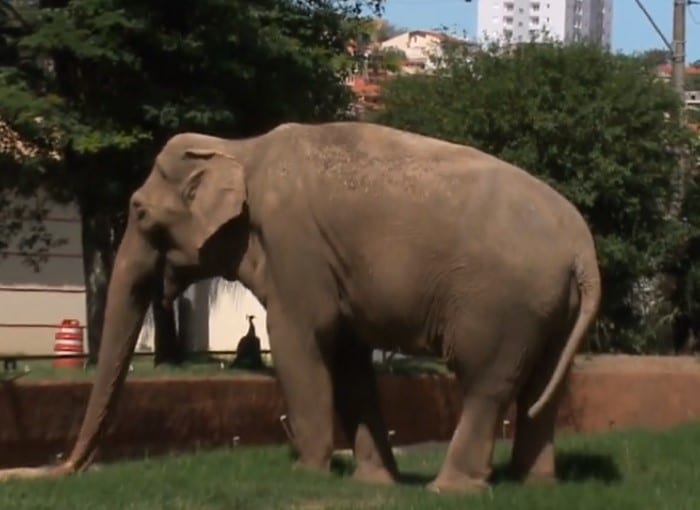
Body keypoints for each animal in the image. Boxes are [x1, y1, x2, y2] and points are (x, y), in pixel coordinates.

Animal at [0, 121, 601, 492]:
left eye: (140, 212)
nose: (37, 473)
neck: (239, 147)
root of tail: (583, 249)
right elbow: (349, 360)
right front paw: (373, 483)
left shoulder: (296, 246)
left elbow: (297, 340)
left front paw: (310, 475)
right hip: (551, 307)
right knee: (543, 389)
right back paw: (531, 483)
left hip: (502, 305)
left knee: (485, 384)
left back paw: (448, 488)